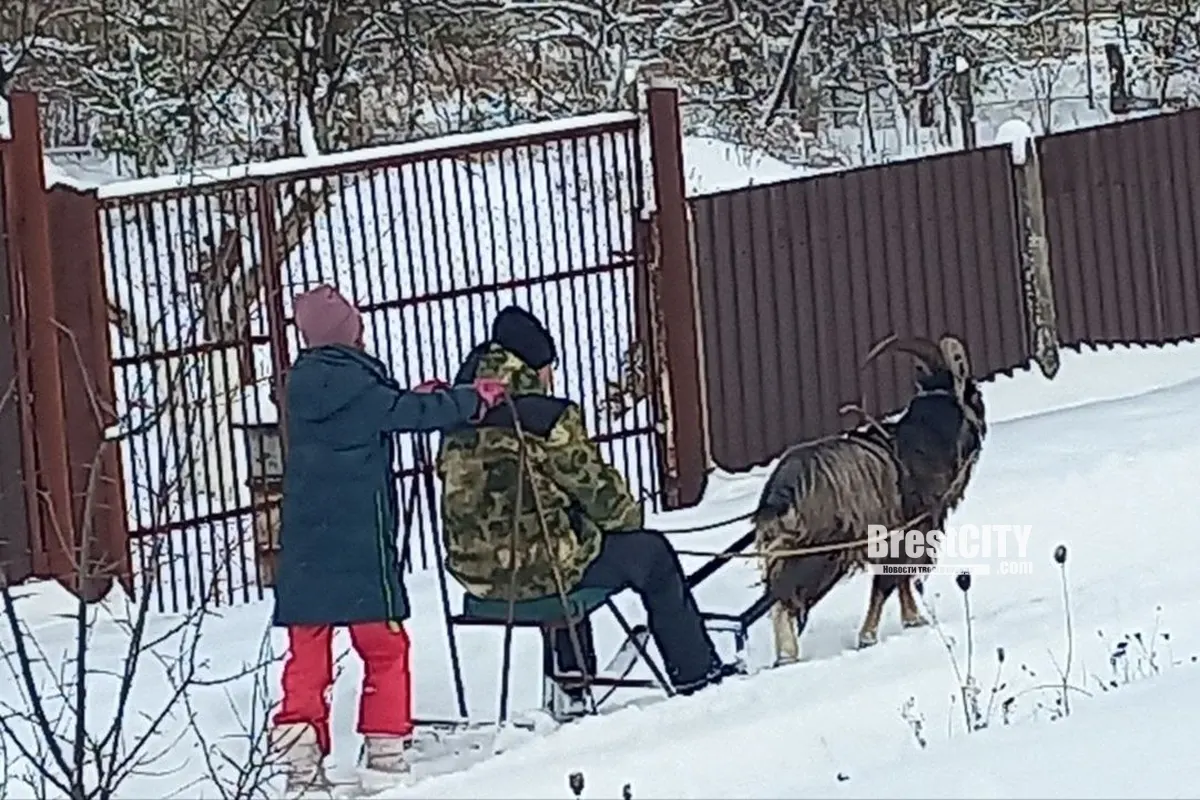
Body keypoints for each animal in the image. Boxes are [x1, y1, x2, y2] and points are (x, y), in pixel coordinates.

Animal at [758, 335, 984, 666]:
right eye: (975, 394)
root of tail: (785, 489)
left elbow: (900, 579)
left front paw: (912, 620)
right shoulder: (907, 531)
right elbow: (886, 582)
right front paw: (868, 637)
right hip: (819, 552)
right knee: (786, 597)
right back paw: (788, 655)